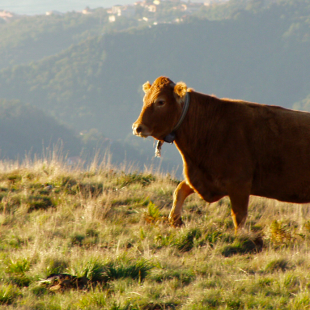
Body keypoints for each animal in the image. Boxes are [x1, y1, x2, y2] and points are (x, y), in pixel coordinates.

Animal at [131, 76, 310, 232]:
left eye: (161, 101)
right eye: (144, 99)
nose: (137, 127)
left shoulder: (239, 183)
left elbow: (239, 217)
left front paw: (240, 239)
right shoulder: (204, 178)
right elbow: (179, 190)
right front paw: (175, 220)